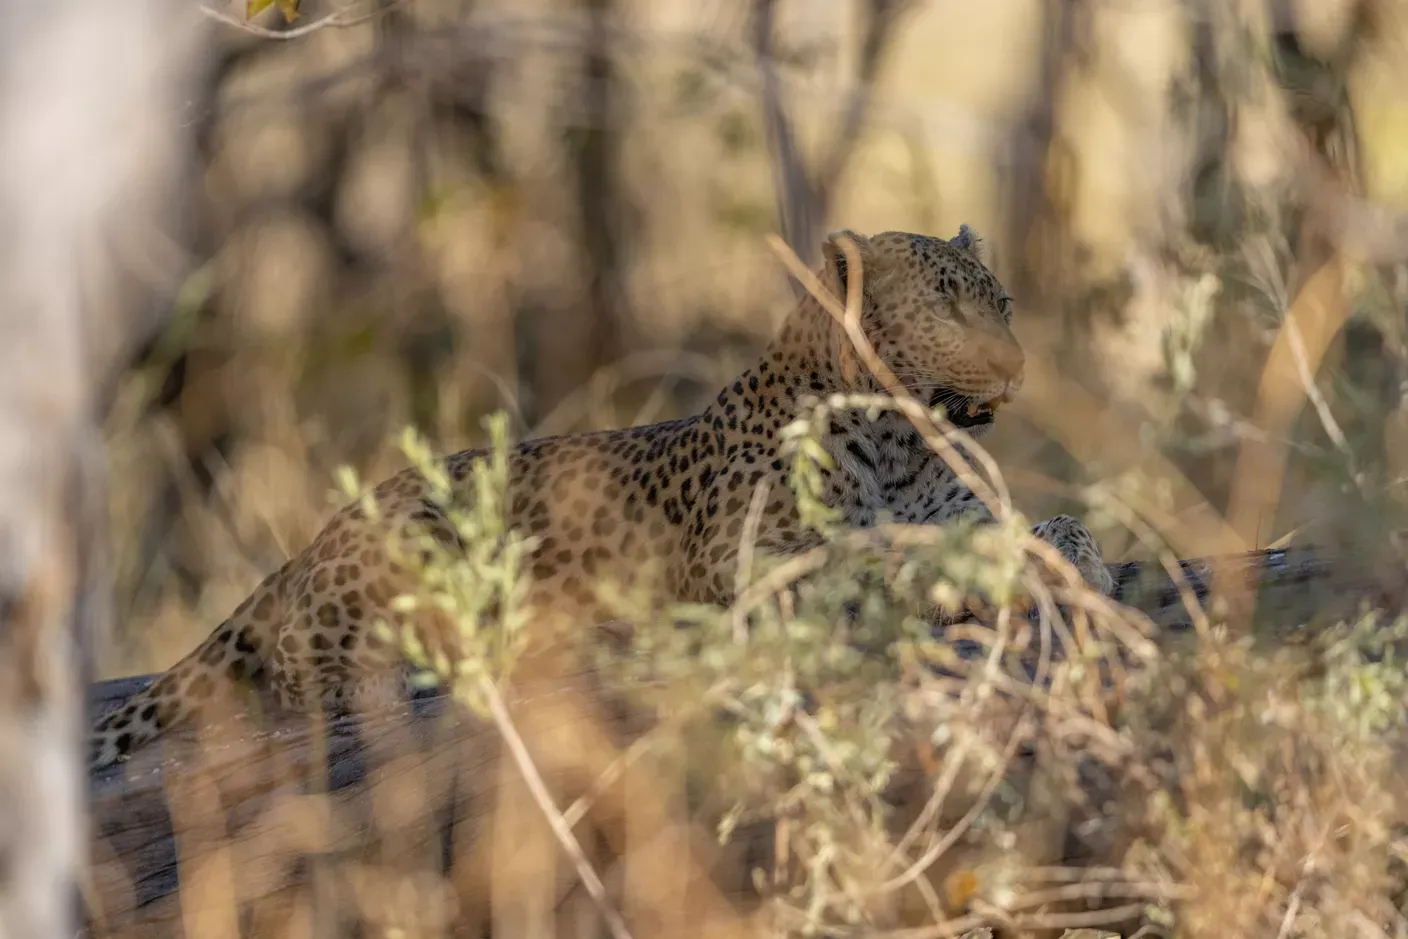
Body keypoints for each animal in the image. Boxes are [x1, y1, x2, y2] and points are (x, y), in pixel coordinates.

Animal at [89, 225, 1116, 770]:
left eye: (1003, 303)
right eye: (945, 305)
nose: (1018, 367)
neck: (899, 440)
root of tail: (305, 547)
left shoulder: (957, 510)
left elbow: (1035, 525)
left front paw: (1080, 555)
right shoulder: (753, 569)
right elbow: (871, 559)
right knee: (320, 675)